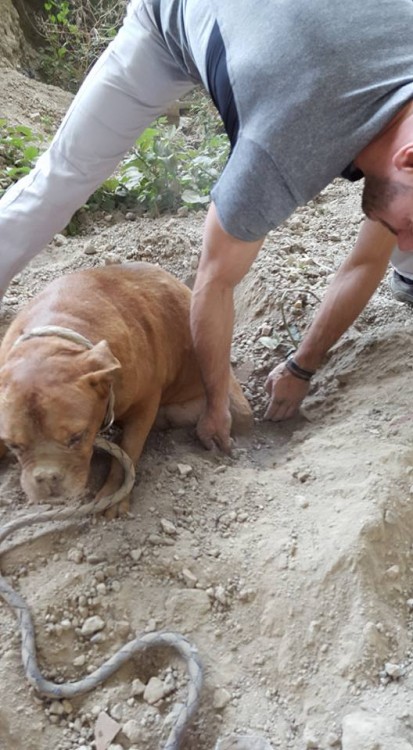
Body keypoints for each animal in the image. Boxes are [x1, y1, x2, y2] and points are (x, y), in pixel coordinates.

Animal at [0, 264, 251, 516]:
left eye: (77, 437)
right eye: (14, 445)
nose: (47, 477)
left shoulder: (144, 406)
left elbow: (128, 451)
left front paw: (113, 496)